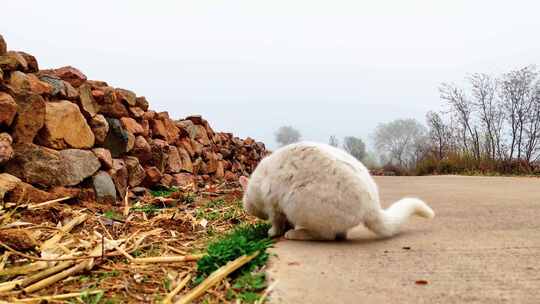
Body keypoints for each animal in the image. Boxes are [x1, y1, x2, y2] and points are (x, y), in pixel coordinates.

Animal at [240, 142, 434, 240]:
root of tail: (372, 207)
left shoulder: (273, 205)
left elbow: (276, 222)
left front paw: (273, 232)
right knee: (340, 234)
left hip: (296, 202)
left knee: (327, 236)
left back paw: (295, 234)